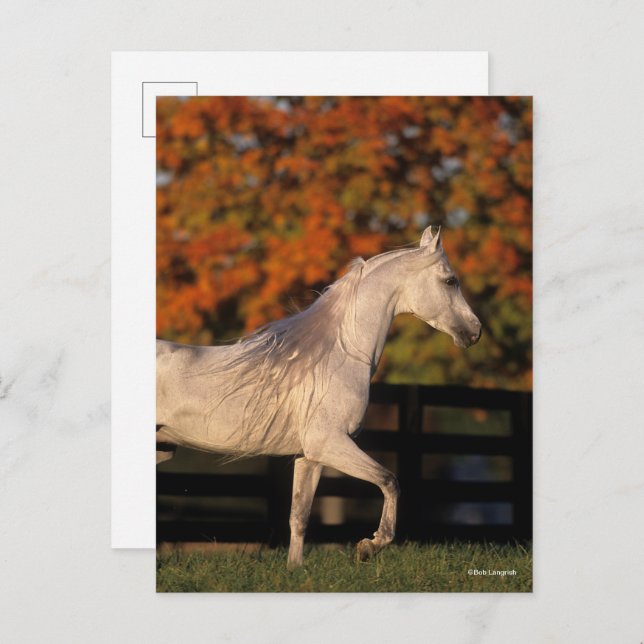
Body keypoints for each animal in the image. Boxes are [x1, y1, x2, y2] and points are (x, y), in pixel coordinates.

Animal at [156, 226, 481, 568]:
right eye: (450, 280)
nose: (475, 331)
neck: (337, 355)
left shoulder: (310, 457)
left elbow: (299, 517)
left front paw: (294, 570)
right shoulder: (331, 444)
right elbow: (390, 481)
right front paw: (369, 546)